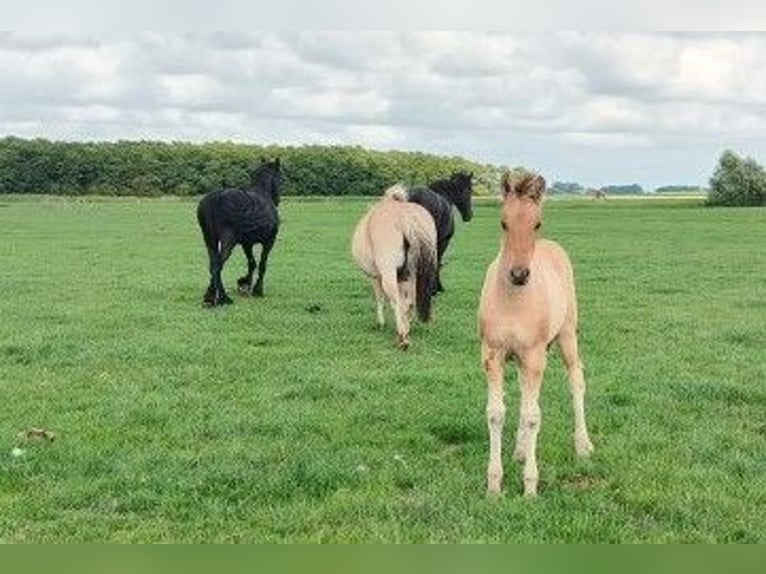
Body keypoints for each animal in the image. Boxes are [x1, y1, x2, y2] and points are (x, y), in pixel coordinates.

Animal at [196, 158, 282, 307]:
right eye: (281, 178)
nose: (278, 200)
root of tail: (214, 199)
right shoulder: (269, 241)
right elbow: (262, 264)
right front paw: (257, 290)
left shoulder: (247, 244)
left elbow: (252, 263)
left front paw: (245, 284)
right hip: (227, 242)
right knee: (218, 265)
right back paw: (223, 298)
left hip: (210, 240)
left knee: (213, 264)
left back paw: (210, 295)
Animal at [351, 184, 438, 349]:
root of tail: (405, 217)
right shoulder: (403, 277)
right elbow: (406, 300)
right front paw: (407, 324)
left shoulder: (376, 277)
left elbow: (380, 298)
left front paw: (381, 324)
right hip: (415, 274)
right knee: (410, 301)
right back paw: (406, 330)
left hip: (388, 273)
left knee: (397, 301)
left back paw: (403, 338)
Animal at [478, 171, 594, 498]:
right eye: (503, 222)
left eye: (537, 223)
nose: (519, 274)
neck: (513, 301)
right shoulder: (493, 354)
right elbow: (496, 413)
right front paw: (494, 486)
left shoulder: (534, 356)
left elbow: (533, 416)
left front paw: (530, 487)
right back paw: (518, 451)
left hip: (566, 337)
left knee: (576, 380)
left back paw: (583, 445)